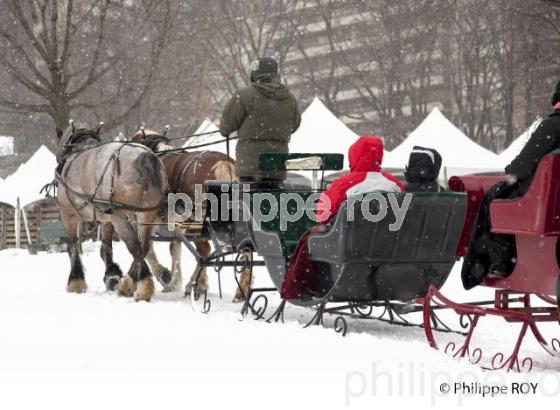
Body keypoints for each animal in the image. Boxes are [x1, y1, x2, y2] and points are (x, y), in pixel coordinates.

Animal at [55, 125, 167, 302]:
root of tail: (144, 156)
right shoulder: (105, 219)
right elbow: (105, 248)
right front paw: (112, 275)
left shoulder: (68, 214)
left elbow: (72, 246)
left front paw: (75, 281)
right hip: (146, 213)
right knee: (145, 246)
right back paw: (132, 281)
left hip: (119, 216)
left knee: (135, 246)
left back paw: (139, 286)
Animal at [130, 130, 253, 302]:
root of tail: (223, 163)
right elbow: (174, 248)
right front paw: (173, 281)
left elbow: (147, 250)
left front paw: (163, 277)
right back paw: (241, 290)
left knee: (204, 251)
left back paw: (195, 285)